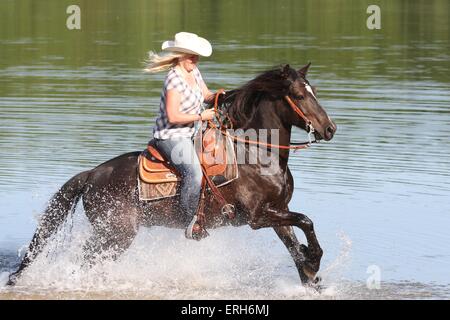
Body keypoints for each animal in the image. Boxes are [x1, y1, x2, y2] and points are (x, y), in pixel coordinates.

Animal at [8, 62, 336, 284]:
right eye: (299, 95)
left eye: (314, 91)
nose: (330, 129)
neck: (258, 155)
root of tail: (91, 175)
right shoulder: (257, 217)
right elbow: (306, 221)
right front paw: (314, 261)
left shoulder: (278, 210)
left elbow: (295, 242)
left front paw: (310, 271)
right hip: (115, 233)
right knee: (83, 262)